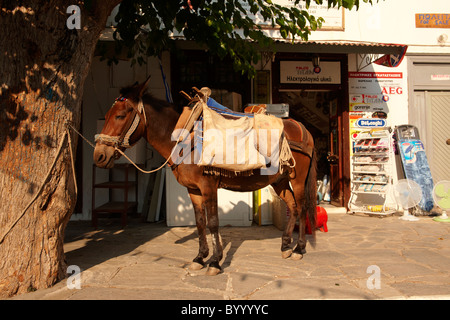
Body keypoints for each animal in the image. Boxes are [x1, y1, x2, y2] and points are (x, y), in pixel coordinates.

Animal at [93, 78, 316, 276]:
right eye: (107, 115)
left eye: (120, 115)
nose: (99, 155)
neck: (184, 136)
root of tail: (302, 128)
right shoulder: (193, 190)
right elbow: (200, 222)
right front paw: (200, 258)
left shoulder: (208, 186)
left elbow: (213, 222)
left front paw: (215, 262)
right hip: (280, 180)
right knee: (293, 206)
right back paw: (286, 246)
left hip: (297, 179)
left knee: (302, 207)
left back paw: (299, 248)